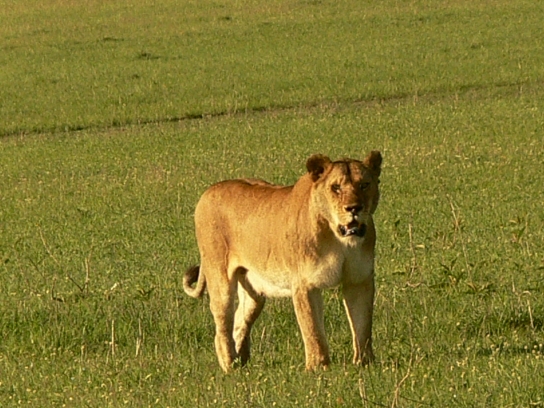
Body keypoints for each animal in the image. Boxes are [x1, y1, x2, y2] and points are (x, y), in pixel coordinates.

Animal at [183, 151, 382, 372]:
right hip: (220, 280)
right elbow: (312, 330)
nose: (354, 208)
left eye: (364, 185)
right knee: (222, 328)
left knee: (239, 323)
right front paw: (318, 368)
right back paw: (231, 368)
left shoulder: (359, 280)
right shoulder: (305, 284)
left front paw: (365, 365)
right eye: (336, 187)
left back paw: (242, 365)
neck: (340, 237)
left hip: (254, 294)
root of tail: (208, 191)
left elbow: (362, 326)